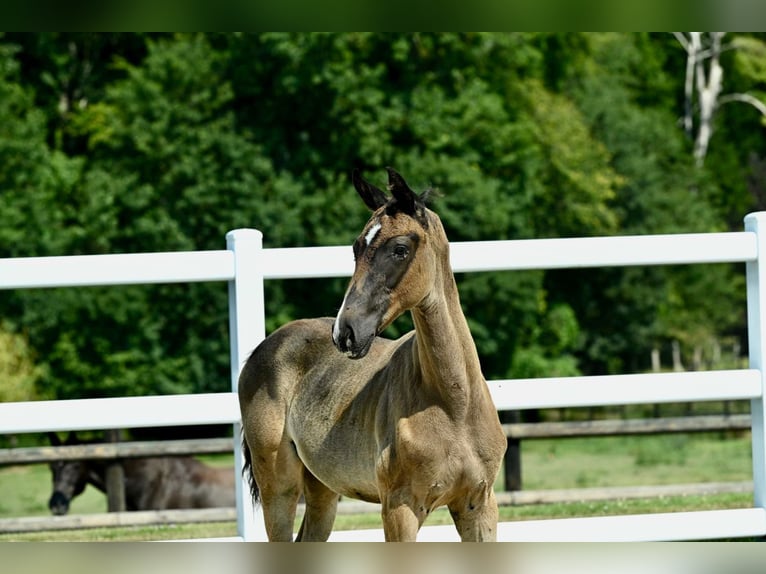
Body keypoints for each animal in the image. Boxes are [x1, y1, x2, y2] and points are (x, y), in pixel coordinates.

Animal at [237, 169, 508, 544]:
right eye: (356, 248)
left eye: (400, 249)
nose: (346, 332)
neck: (454, 404)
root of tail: (261, 349)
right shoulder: (399, 508)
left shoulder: (479, 504)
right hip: (279, 486)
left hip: (322, 488)